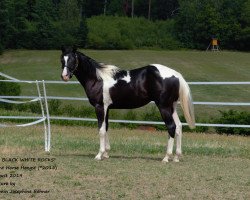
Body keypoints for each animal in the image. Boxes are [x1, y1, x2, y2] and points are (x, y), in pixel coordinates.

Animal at [60, 46, 195, 162]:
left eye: (72, 59)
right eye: (62, 59)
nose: (64, 76)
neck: (97, 79)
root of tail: (176, 75)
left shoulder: (100, 107)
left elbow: (101, 129)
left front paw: (99, 154)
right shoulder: (107, 108)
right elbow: (106, 127)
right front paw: (106, 153)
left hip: (164, 107)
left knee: (171, 127)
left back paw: (166, 157)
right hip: (172, 107)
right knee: (179, 127)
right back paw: (176, 157)